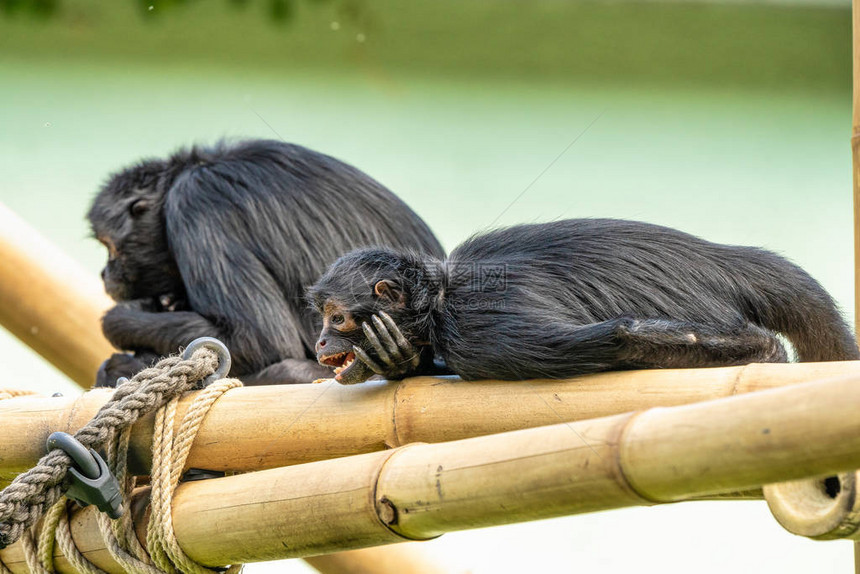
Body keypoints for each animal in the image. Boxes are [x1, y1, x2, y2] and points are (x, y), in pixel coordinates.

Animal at [310, 218, 860, 384]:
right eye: (322, 321)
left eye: (336, 320)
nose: (319, 342)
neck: (441, 293)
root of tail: (721, 259)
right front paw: (399, 359)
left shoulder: (477, 328)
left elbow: (615, 336)